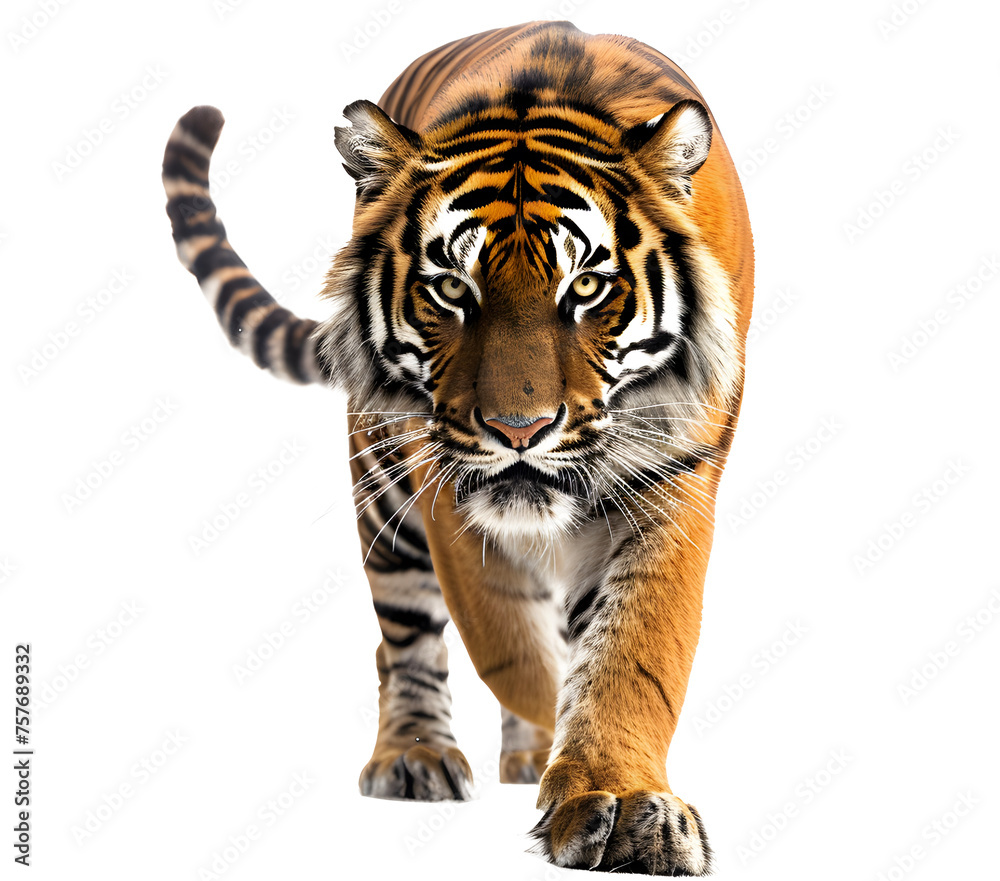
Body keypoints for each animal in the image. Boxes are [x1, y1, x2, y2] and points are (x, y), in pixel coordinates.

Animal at [162, 20, 752, 875]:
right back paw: (417, 757)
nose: (519, 430)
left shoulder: (671, 482)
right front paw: (561, 755)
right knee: (406, 636)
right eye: (450, 289)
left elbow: (633, 651)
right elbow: (505, 642)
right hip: (381, 482)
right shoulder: (444, 488)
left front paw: (621, 801)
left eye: (586, 288)